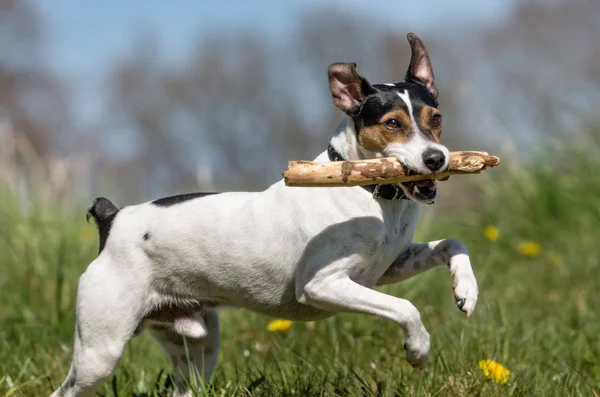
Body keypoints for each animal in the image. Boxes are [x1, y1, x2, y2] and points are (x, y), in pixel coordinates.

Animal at [54, 33, 480, 396]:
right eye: (393, 124)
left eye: (436, 118)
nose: (436, 159)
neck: (372, 196)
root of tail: (112, 220)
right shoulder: (322, 285)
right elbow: (405, 307)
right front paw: (418, 348)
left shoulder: (388, 267)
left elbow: (453, 243)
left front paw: (466, 290)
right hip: (101, 351)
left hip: (197, 346)